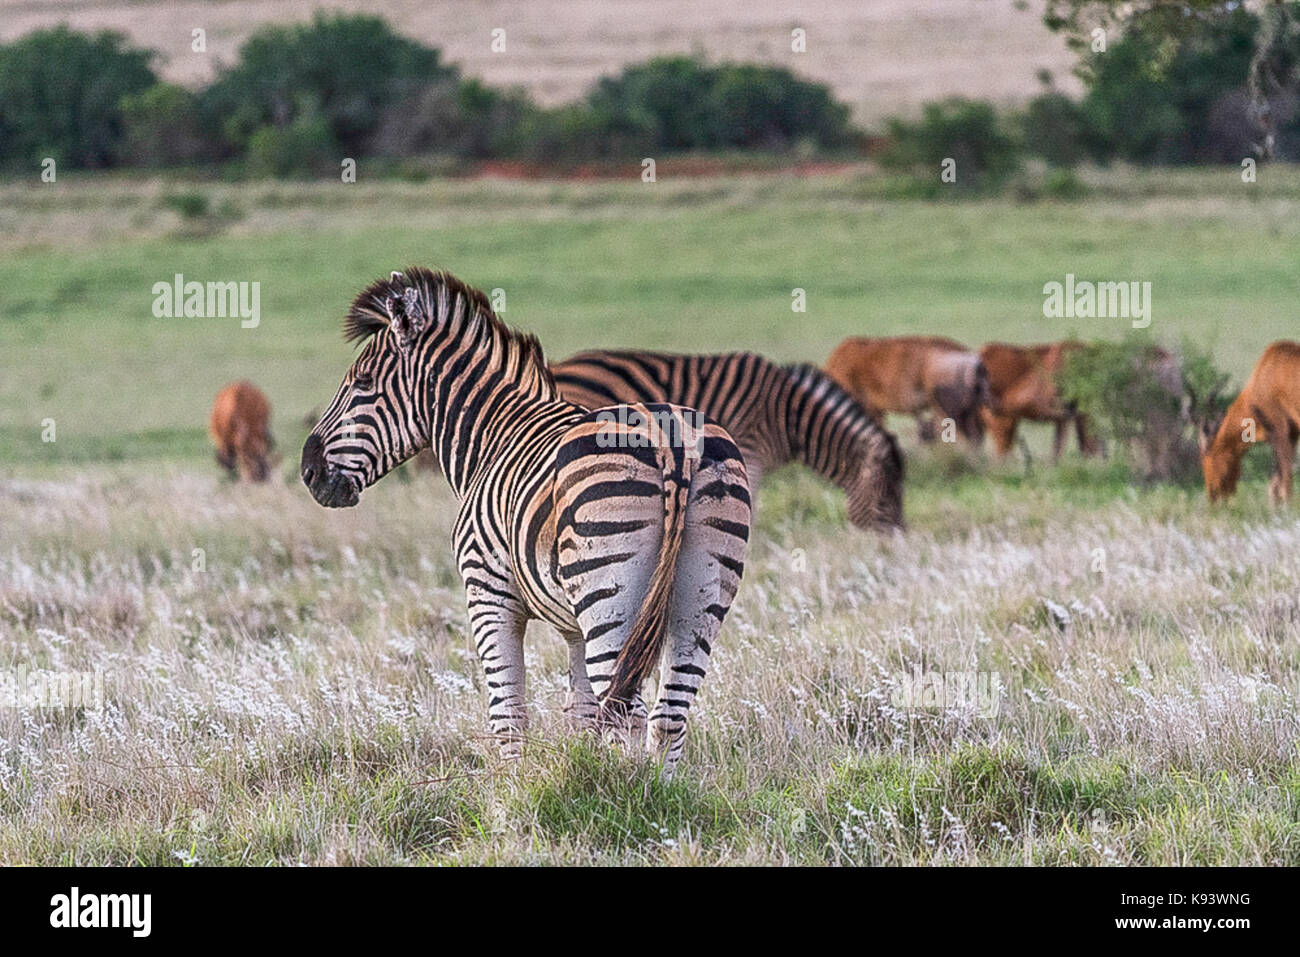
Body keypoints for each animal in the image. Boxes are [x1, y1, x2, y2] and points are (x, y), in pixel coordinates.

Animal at [300, 269, 754, 780]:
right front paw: (583, 778)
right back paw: (660, 793)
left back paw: (632, 793)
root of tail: (670, 440)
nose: (309, 472)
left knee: (630, 713)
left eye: (362, 382)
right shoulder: (574, 626)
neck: (492, 439)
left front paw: (518, 791)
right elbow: (581, 712)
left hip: (611, 596)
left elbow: (508, 713)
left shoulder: (488, 595)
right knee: (668, 713)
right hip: (700, 593)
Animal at [548, 348, 904, 530]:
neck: (790, 415)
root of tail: (559, 366)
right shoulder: (750, 447)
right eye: (886, 497)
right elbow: (750, 503)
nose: (896, 544)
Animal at [1196, 340, 1300, 504]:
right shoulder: (1293, 433)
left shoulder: (1280, 431)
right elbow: (1274, 483)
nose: (1212, 498)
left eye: (1207, 458)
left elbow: (1284, 482)